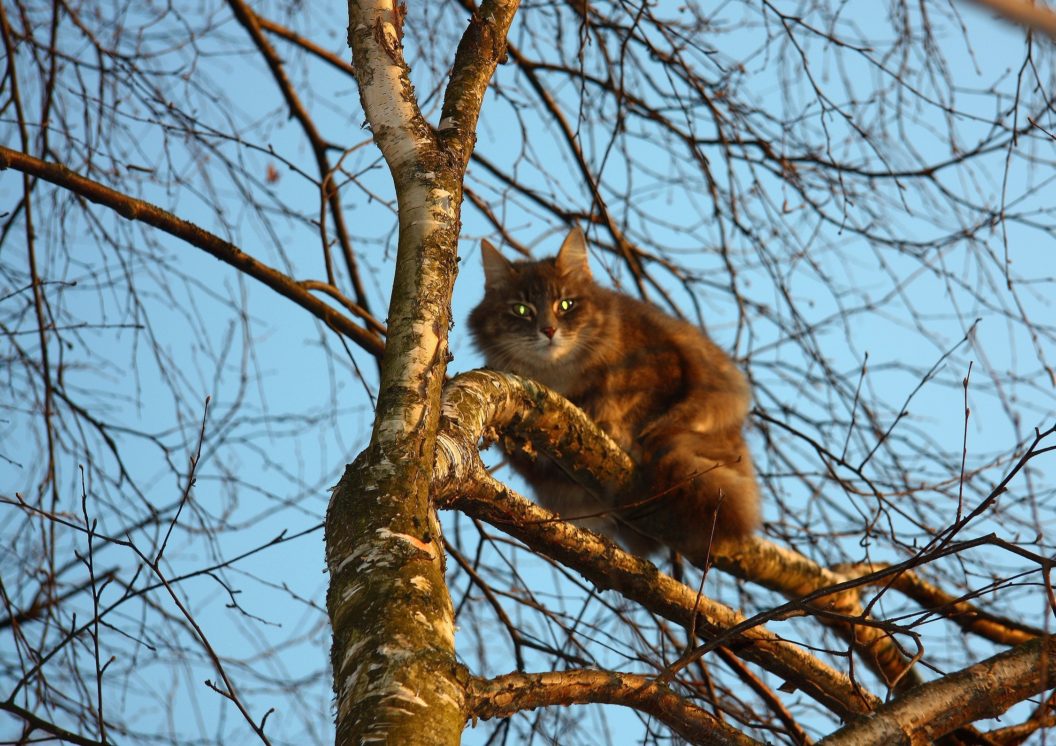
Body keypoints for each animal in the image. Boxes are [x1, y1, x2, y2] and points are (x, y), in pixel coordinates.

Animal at [470, 226, 760, 562]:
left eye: (565, 305)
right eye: (521, 310)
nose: (549, 330)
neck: (556, 374)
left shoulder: (660, 369)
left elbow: (638, 410)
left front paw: (619, 429)